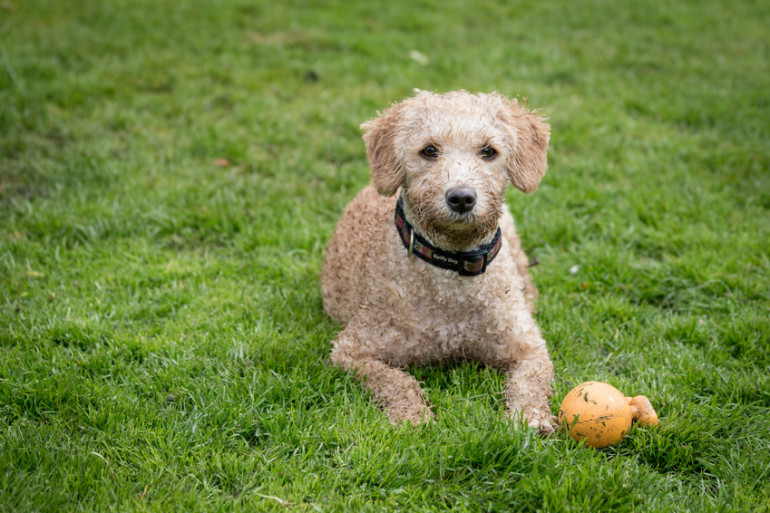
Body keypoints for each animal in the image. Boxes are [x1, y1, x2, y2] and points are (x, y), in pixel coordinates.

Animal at [320, 90, 556, 430]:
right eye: (429, 150)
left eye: (488, 151)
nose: (461, 198)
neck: (451, 270)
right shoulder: (352, 350)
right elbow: (395, 380)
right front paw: (411, 415)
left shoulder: (530, 349)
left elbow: (531, 381)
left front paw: (530, 417)